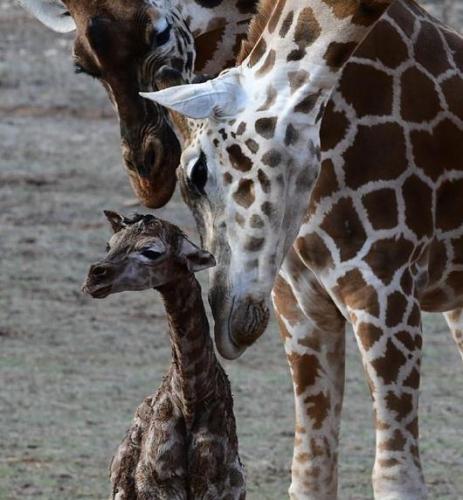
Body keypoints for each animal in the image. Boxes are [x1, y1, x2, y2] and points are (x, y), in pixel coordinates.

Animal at [82, 212, 246, 500]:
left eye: (150, 251)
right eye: (109, 244)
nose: (94, 278)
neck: (191, 401)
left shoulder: (221, 491)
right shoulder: (160, 489)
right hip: (121, 491)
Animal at [141, 0, 463, 496]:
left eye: (195, 173)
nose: (228, 323)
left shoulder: (385, 289)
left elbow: (395, 477)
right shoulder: (302, 302)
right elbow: (311, 472)